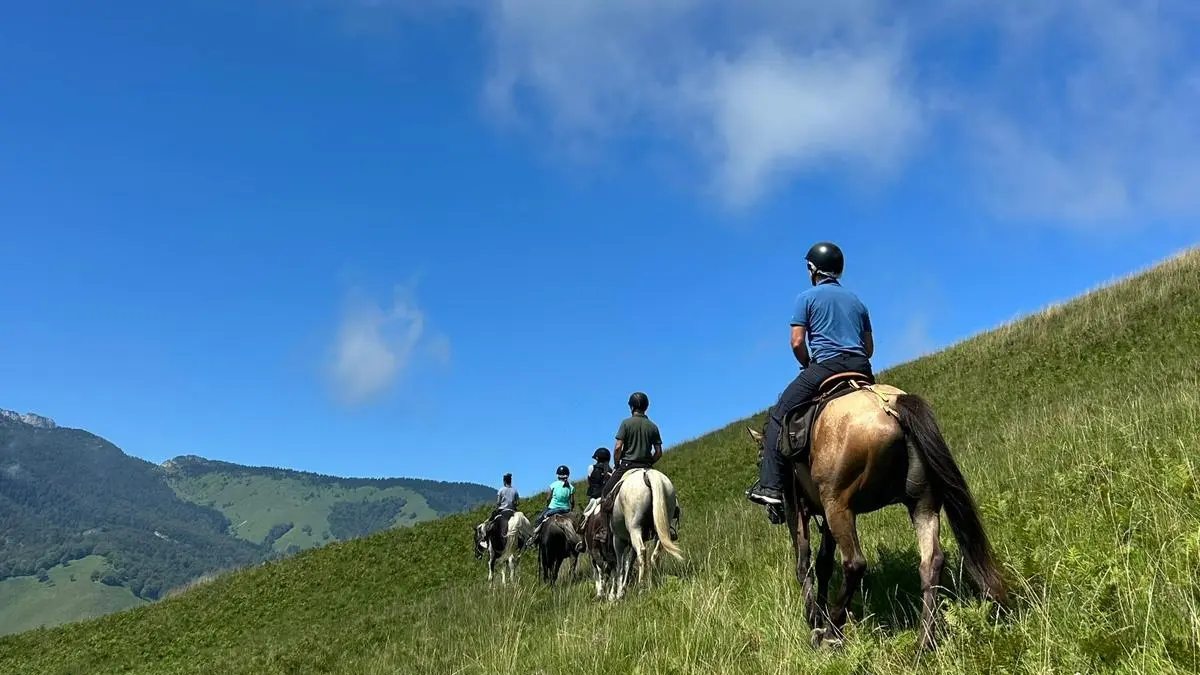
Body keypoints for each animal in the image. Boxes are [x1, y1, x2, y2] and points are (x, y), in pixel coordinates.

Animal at [744, 374, 1008, 648]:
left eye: (760, 459)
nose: (771, 513)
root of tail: (889, 404)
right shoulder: (824, 517)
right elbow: (824, 564)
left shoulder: (797, 509)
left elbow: (804, 564)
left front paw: (814, 620)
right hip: (921, 503)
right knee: (931, 562)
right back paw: (923, 643)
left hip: (838, 505)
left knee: (855, 563)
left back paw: (832, 633)